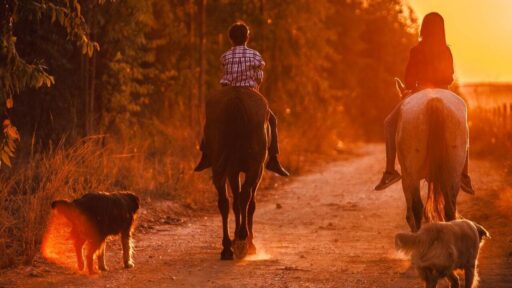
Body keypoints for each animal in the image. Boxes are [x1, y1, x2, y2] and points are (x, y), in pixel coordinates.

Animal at [203, 86, 268, 260]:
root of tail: (236, 99)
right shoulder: (257, 170)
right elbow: (249, 203)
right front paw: (247, 242)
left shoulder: (233, 170)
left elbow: (235, 202)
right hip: (253, 168)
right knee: (245, 197)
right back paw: (243, 239)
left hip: (221, 165)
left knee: (224, 202)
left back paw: (227, 248)